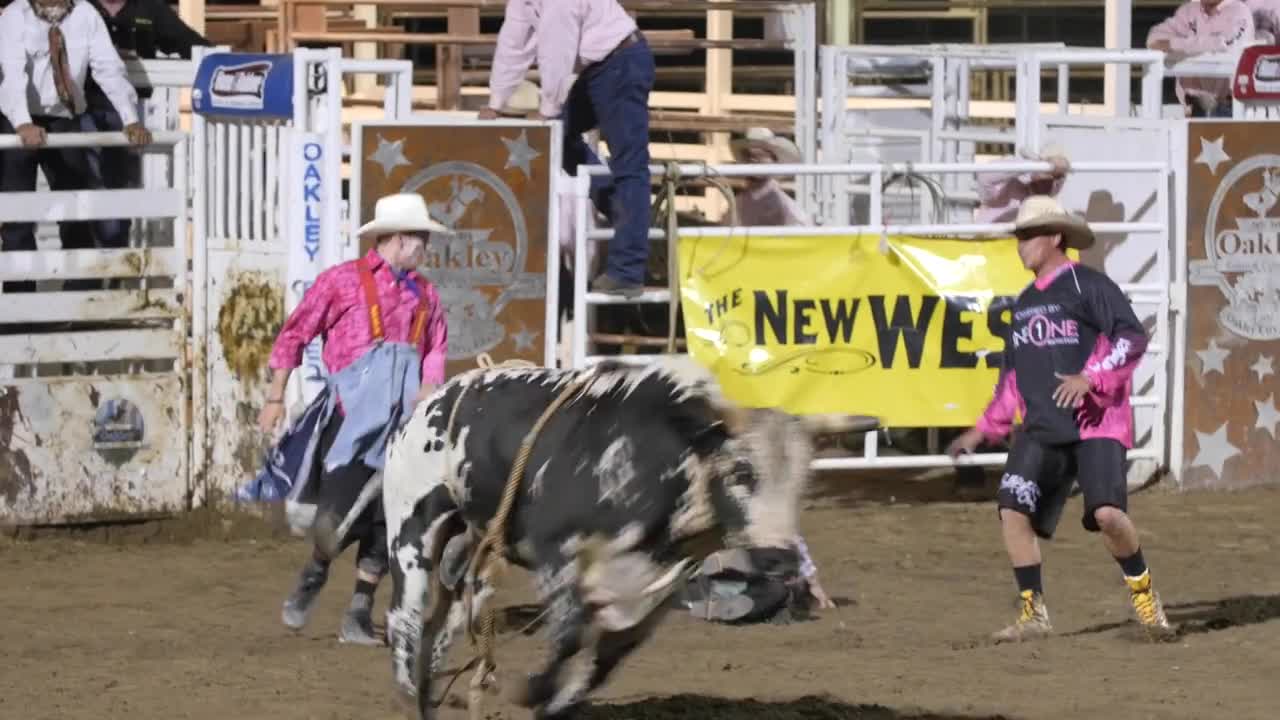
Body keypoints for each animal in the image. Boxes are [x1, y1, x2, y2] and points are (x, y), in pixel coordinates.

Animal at [378, 356, 870, 712]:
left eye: (803, 481)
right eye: (741, 470)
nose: (782, 558)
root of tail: (432, 403)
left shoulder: (658, 585)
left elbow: (605, 660)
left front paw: (557, 701)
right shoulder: (558, 552)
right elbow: (570, 636)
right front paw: (534, 690)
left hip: (471, 545)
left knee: (447, 621)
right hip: (411, 531)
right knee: (405, 618)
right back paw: (407, 695)